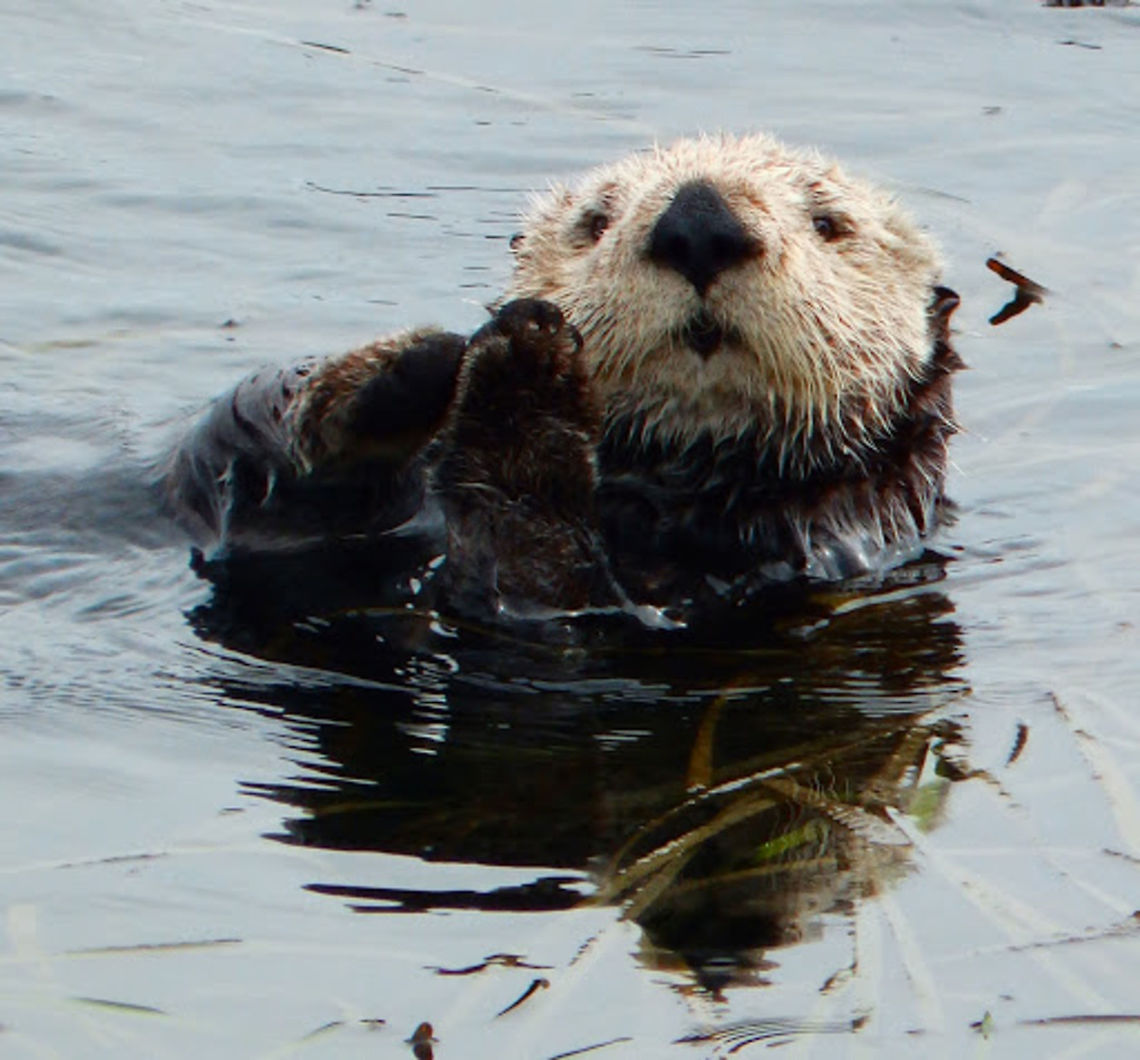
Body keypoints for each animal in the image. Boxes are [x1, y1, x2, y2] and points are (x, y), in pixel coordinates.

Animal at [165, 133, 961, 618]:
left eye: (830, 224)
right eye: (594, 221)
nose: (699, 221)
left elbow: (532, 583)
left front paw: (528, 376)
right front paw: (405, 369)